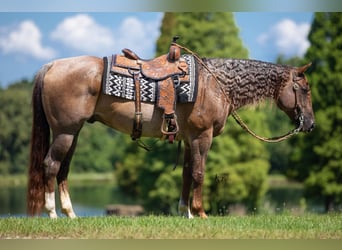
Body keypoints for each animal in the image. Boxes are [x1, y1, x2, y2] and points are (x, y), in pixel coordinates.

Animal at [26, 50, 316, 217]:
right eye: (304, 89)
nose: (310, 124)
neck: (216, 84)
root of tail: (51, 65)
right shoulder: (202, 136)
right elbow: (199, 173)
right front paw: (200, 213)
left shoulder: (188, 139)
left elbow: (187, 175)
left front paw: (185, 213)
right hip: (65, 132)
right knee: (51, 165)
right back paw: (52, 214)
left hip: (72, 134)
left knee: (63, 170)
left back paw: (70, 214)